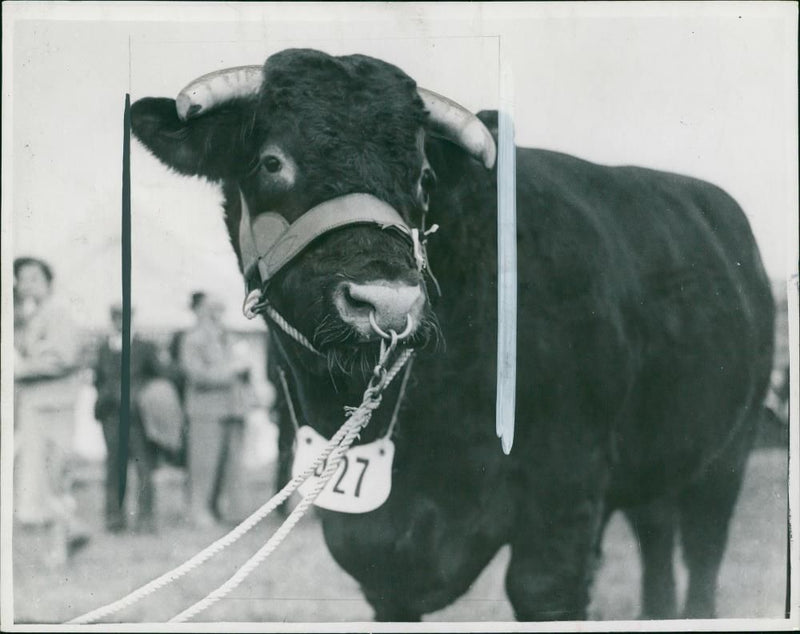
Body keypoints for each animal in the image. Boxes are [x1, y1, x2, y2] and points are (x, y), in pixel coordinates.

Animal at [130, 48, 776, 616]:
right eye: (272, 161)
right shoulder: (375, 554)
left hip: (729, 454)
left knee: (703, 551)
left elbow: (545, 585)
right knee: (656, 537)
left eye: (422, 176)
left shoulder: (562, 501)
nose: (387, 301)